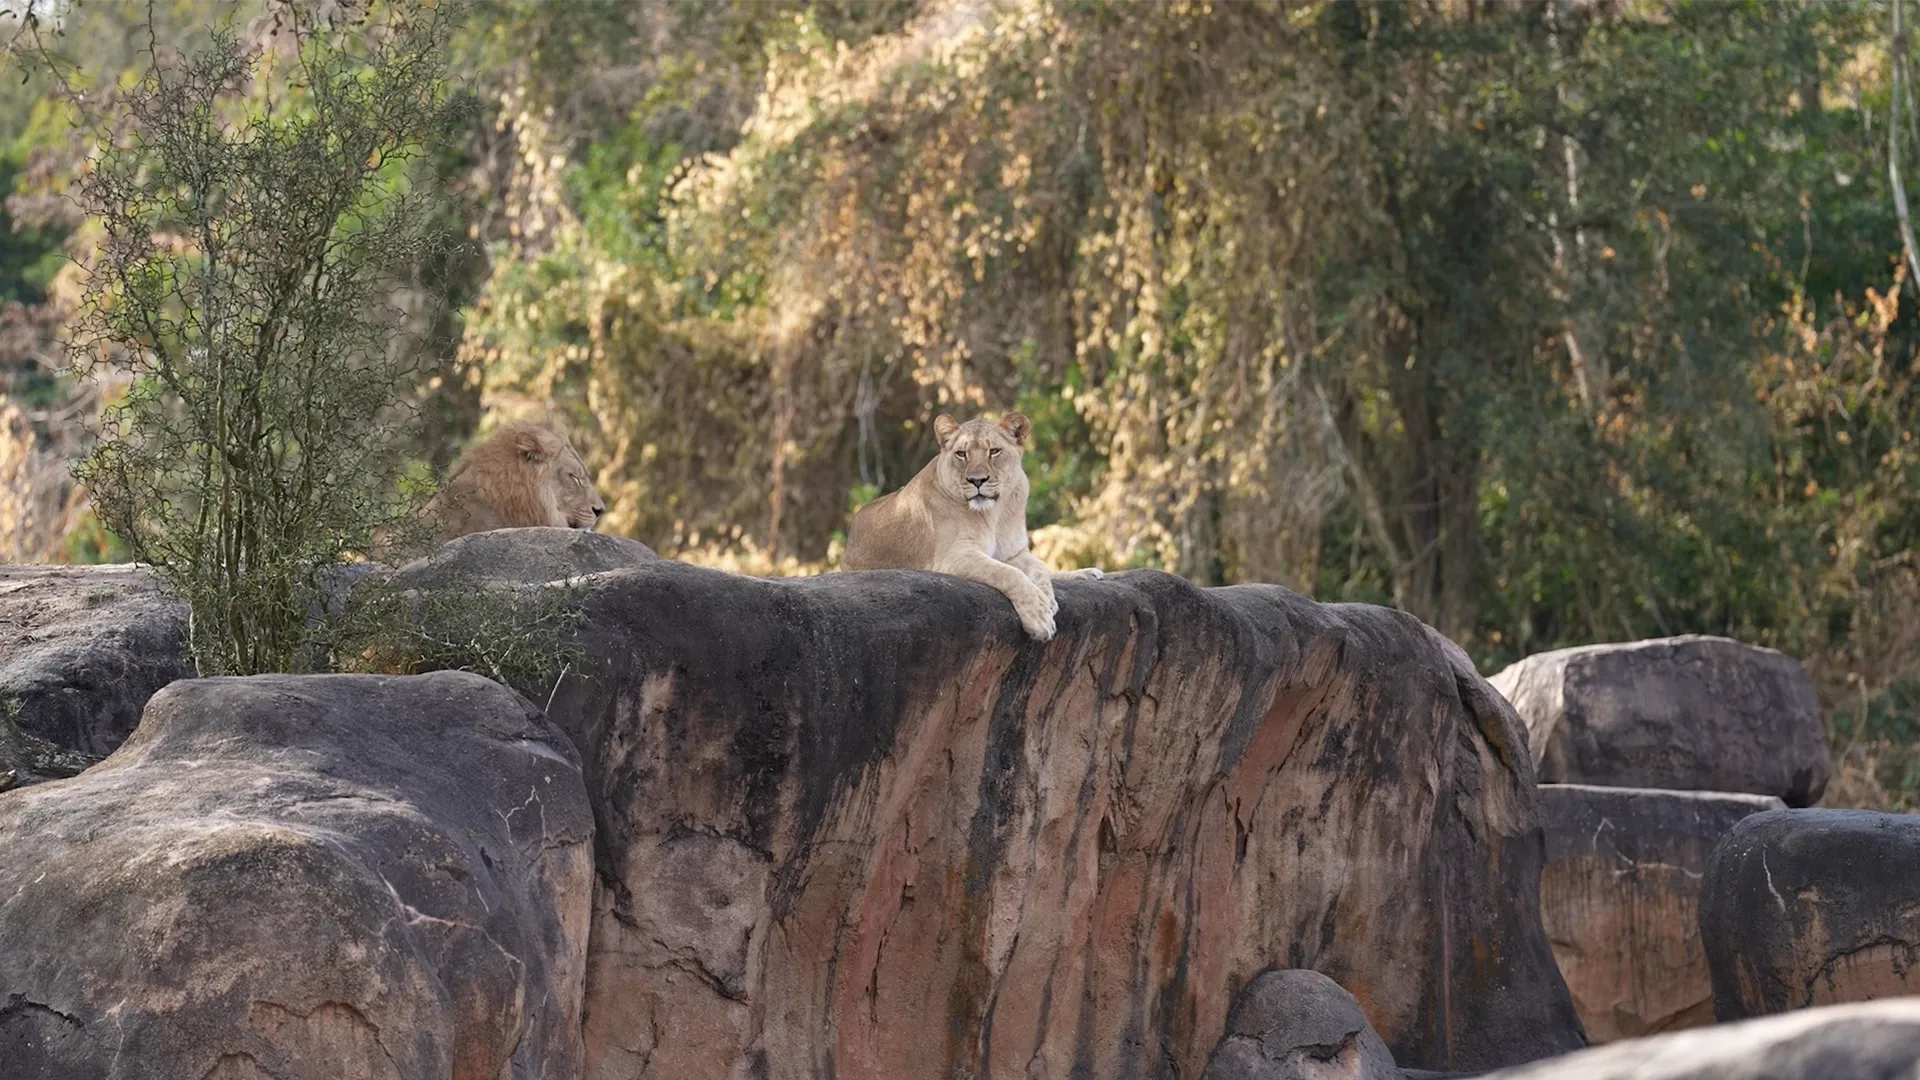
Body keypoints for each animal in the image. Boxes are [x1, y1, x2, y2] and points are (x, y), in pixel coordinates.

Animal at [841, 412, 1103, 641]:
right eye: (961, 454)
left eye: (994, 451)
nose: (977, 480)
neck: (995, 513)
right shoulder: (955, 557)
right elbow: (1009, 574)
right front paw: (1039, 617)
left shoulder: (1013, 553)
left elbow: (1039, 567)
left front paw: (1047, 597)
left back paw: (1087, 574)